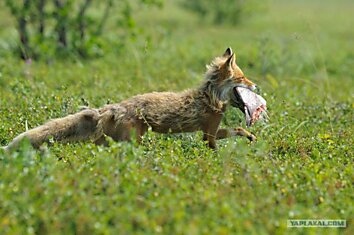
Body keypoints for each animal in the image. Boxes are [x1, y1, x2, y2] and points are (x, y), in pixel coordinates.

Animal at [2, 47, 258, 151]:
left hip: (111, 140)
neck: (210, 96)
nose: (256, 85)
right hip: (132, 140)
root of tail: (114, 107)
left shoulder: (210, 130)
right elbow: (217, 146)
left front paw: (250, 136)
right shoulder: (209, 133)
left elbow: (236, 129)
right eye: (242, 78)